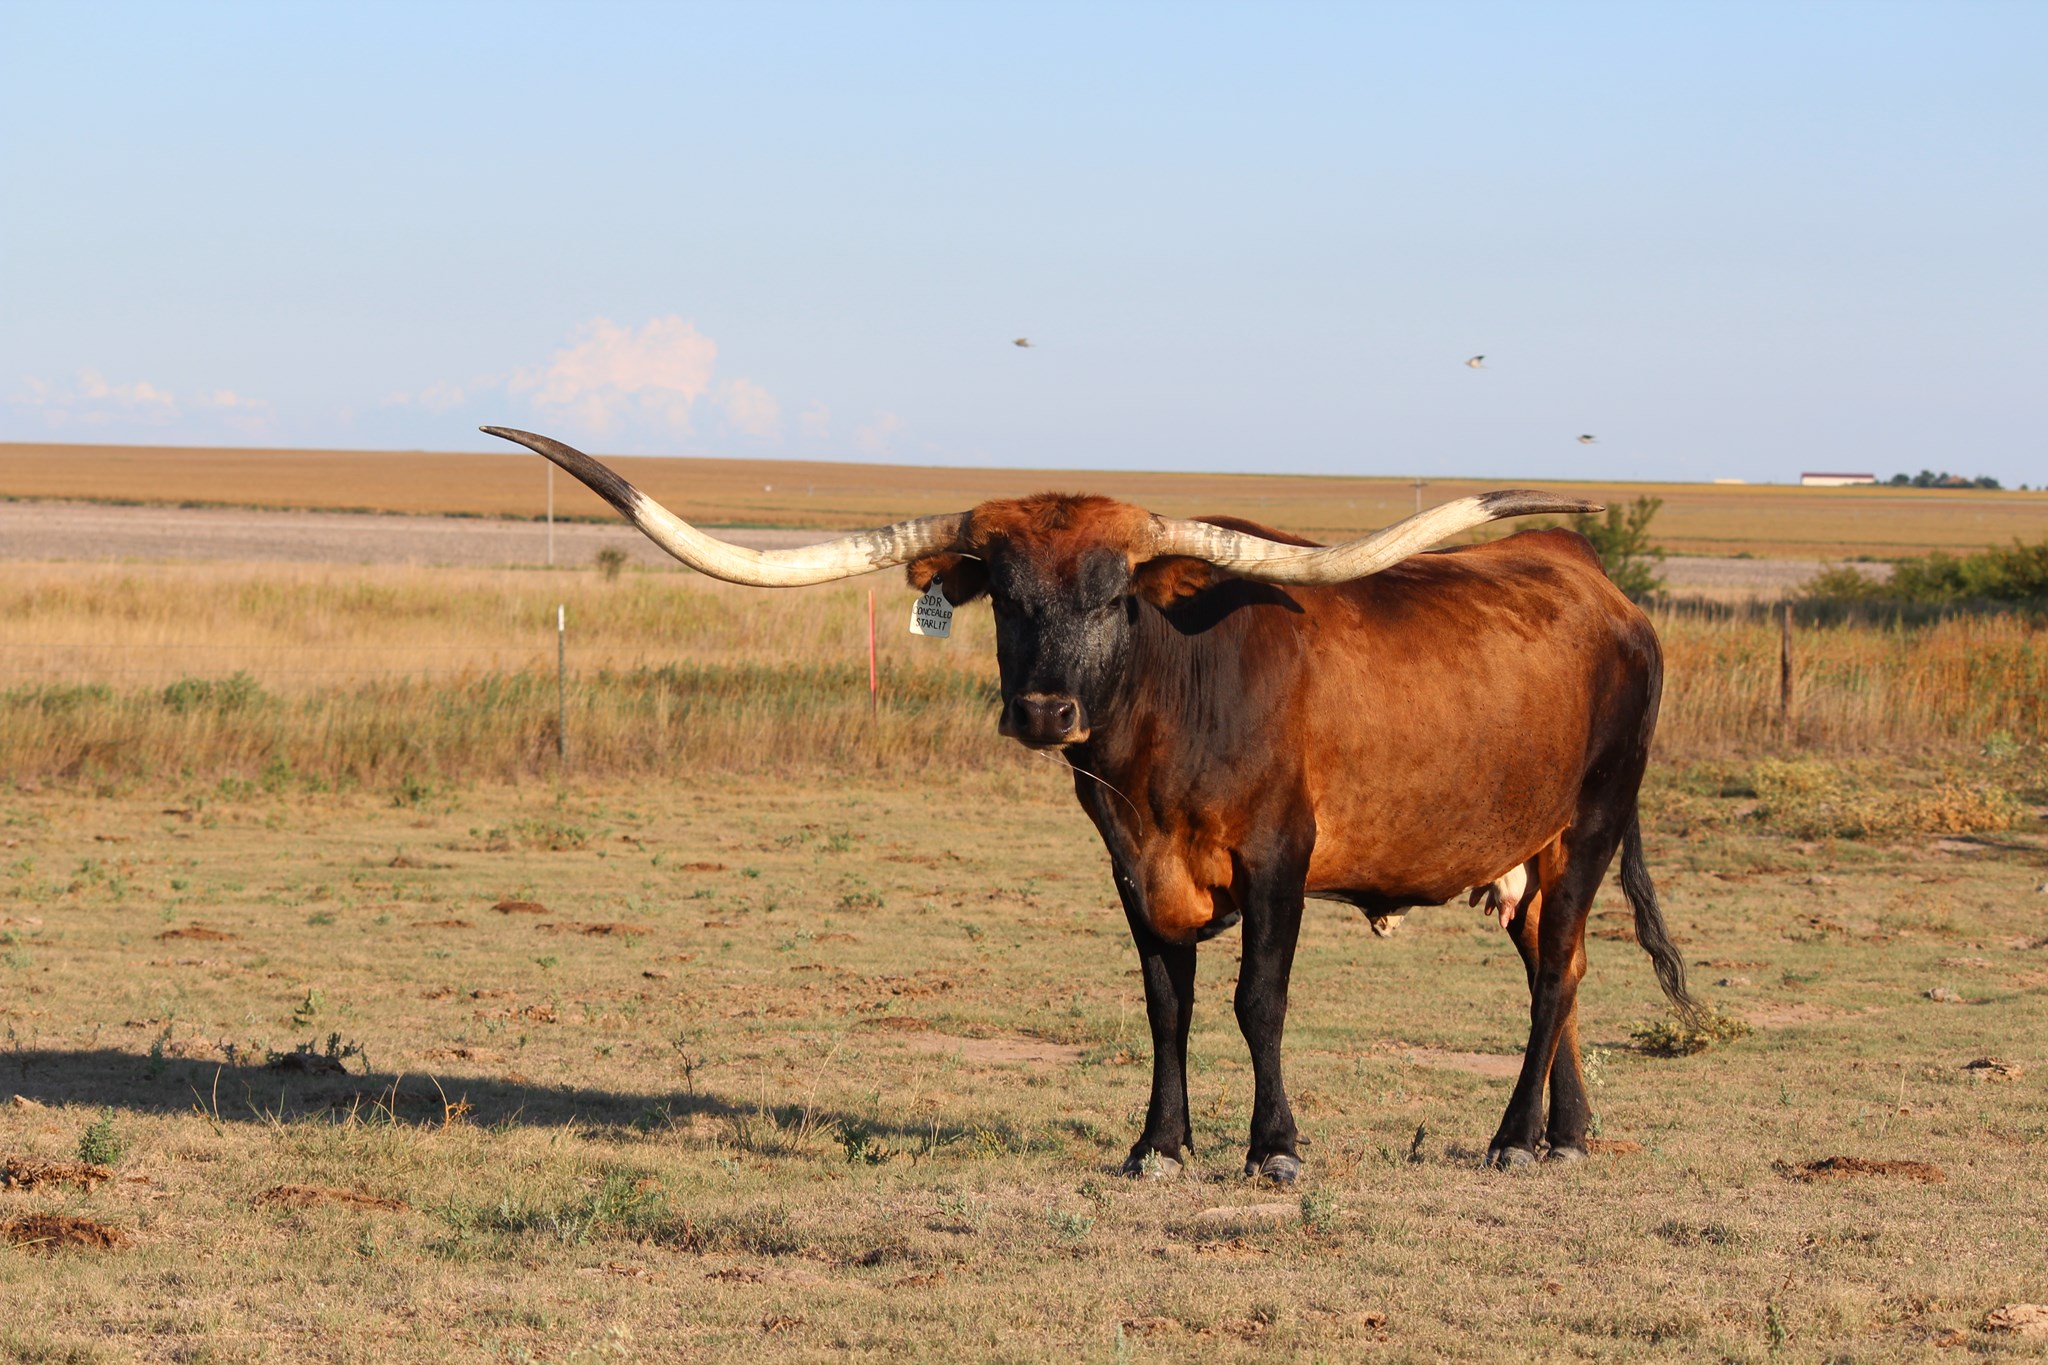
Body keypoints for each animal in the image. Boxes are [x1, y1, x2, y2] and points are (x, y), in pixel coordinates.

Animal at [481, 426, 1697, 1179]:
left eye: (1115, 595)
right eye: (1006, 596)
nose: (1044, 710)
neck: (1171, 718)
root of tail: (1590, 575)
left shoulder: (1279, 859)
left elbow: (1257, 1001)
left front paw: (1272, 1148)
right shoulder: (1132, 867)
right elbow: (1165, 1006)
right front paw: (1158, 1146)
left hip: (1589, 826)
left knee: (1554, 977)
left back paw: (1512, 1137)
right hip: (1531, 855)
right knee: (1560, 975)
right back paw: (1566, 1134)